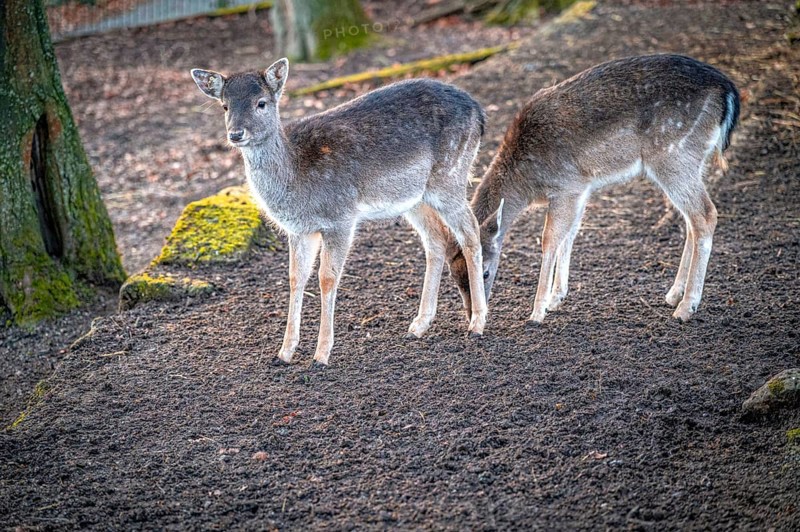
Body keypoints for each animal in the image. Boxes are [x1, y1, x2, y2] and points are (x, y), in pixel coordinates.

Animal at [191, 59, 488, 366]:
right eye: (225, 105)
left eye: (261, 103)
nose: (236, 134)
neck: (296, 180)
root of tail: (479, 112)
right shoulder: (300, 230)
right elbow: (295, 278)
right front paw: (284, 352)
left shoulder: (340, 217)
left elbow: (327, 277)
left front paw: (321, 354)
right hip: (415, 197)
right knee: (437, 239)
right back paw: (419, 325)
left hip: (449, 176)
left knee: (470, 232)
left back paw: (477, 323)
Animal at [448, 54, 740, 325]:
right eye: (453, 275)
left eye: (485, 271)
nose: (471, 314)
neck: (528, 184)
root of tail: (728, 90)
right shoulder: (581, 188)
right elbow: (570, 234)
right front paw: (556, 298)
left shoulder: (566, 184)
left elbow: (549, 239)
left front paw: (537, 312)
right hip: (692, 160)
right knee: (692, 219)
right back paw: (674, 294)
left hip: (673, 156)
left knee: (705, 214)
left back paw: (686, 307)